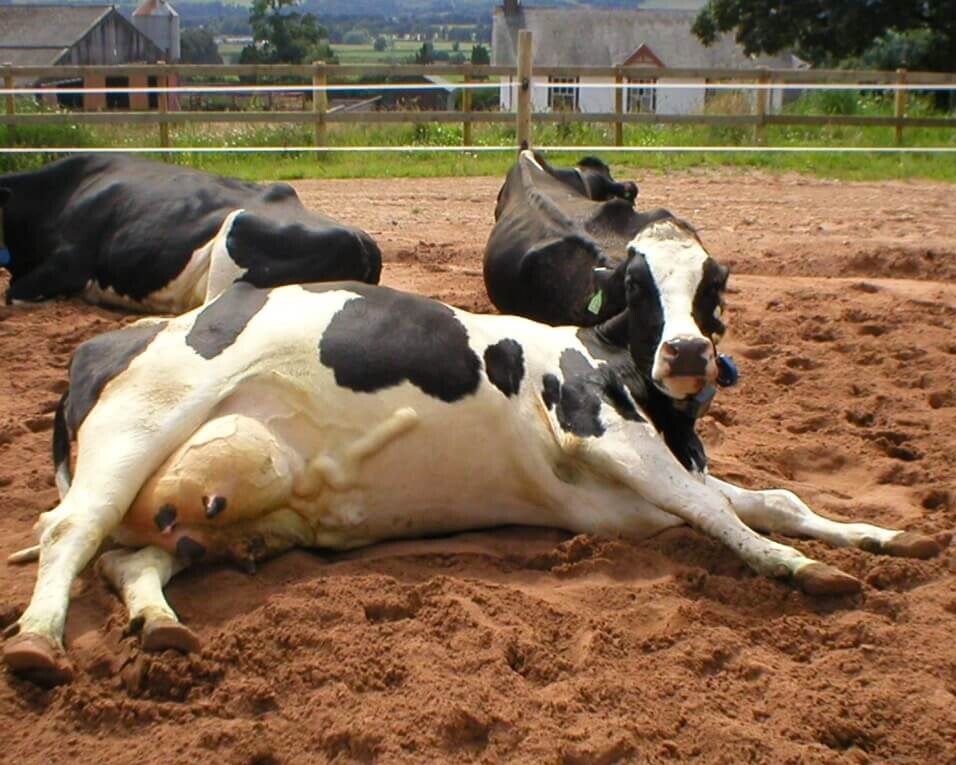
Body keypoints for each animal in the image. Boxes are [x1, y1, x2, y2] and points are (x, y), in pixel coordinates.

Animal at [1, 216, 940, 688]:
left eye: (711, 286)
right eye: (638, 287)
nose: (684, 353)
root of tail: (103, 342)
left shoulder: (650, 477)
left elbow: (772, 497)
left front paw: (885, 536)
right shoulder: (600, 429)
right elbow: (717, 509)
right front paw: (802, 568)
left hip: (188, 506)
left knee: (131, 558)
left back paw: (160, 623)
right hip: (134, 434)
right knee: (67, 532)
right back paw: (40, 640)